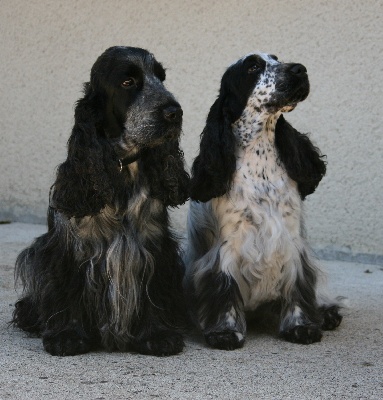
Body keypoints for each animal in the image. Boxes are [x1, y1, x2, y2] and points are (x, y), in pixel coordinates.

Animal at [12, 47, 190, 356]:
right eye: (128, 82)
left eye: (161, 78)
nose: (174, 112)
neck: (121, 168)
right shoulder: (70, 249)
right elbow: (70, 290)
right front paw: (67, 336)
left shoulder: (154, 247)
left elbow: (153, 291)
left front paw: (157, 335)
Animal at [184, 52, 344, 350]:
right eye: (253, 66)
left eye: (276, 58)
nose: (300, 69)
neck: (261, 157)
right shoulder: (225, 249)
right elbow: (224, 288)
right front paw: (224, 332)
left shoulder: (292, 241)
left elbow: (298, 284)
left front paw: (302, 327)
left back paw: (327, 313)